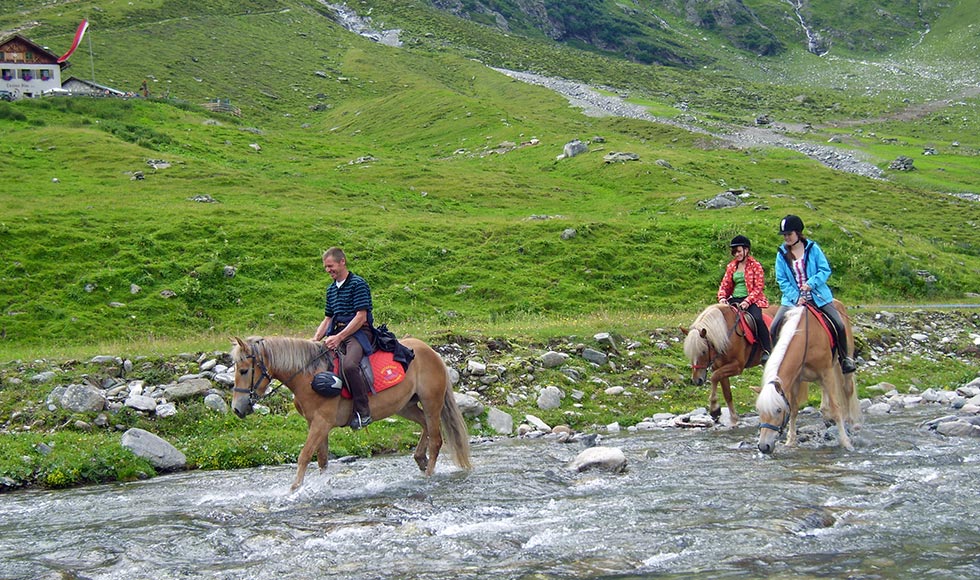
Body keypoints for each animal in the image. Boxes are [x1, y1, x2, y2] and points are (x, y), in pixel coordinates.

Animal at [232, 336, 472, 490]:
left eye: (243, 370)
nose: (237, 408)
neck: (310, 376)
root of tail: (431, 351)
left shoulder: (321, 423)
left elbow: (304, 456)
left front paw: (294, 490)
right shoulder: (316, 424)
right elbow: (322, 459)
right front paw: (322, 486)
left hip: (431, 402)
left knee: (436, 439)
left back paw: (428, 474)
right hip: (406, 406)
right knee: (425, 426)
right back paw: (420, 459)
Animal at [756, 302, 860, 456]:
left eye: (778, 410)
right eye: (759, 410)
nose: (764, 446)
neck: (807, 337)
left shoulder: (827, 373)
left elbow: (836, 408)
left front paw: (846, 442)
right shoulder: (796, 379)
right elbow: (793, 409)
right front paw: (790, 441)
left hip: (844, 364)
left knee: (847, 390)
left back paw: (851, 423)